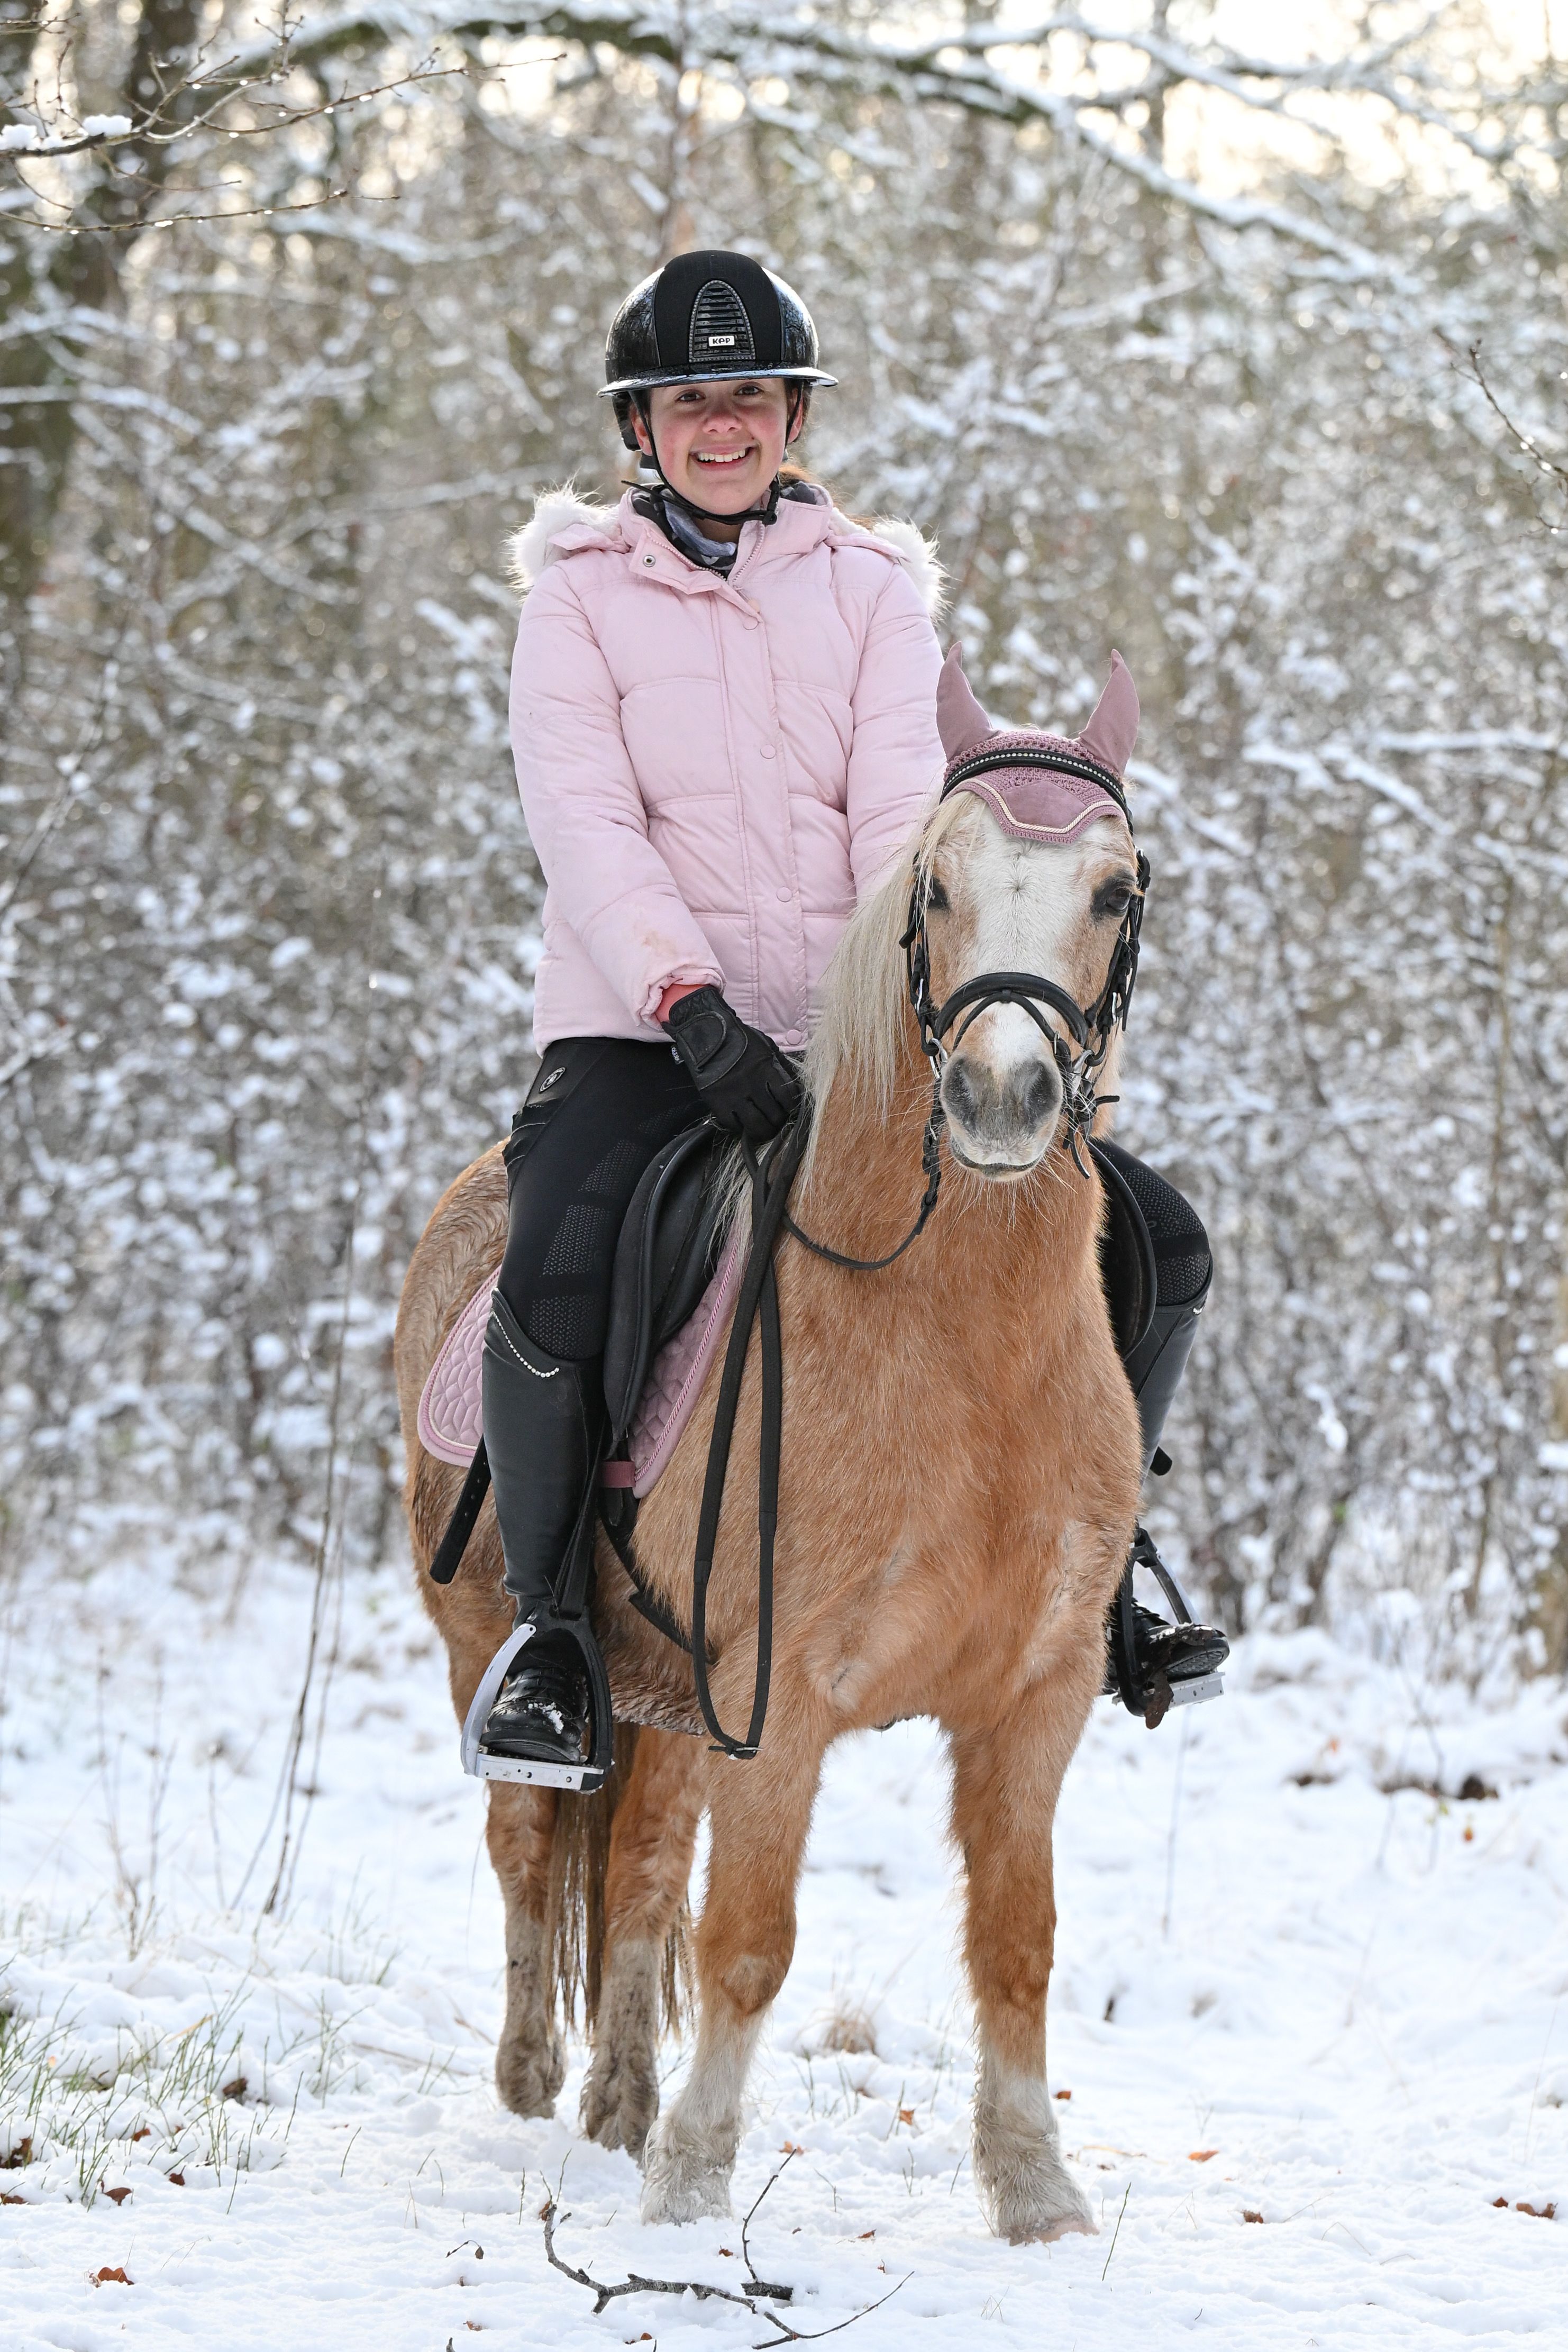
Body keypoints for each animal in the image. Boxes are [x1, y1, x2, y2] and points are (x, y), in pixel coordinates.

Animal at [393, 727, 1146, 2244]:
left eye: (1112, 891)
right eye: (934, 885)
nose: (1000, 1099)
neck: (964, 1343)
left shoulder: (1033, 1700)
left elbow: (1018, 1944)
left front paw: (1037, 2199)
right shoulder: (784, 1699)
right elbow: (748, 1942)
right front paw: (691, 2187)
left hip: (673, 1701)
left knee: (632, 1871)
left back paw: (618, 2105)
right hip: (489, 1648)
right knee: (525, 1844)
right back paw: (533, 2083)